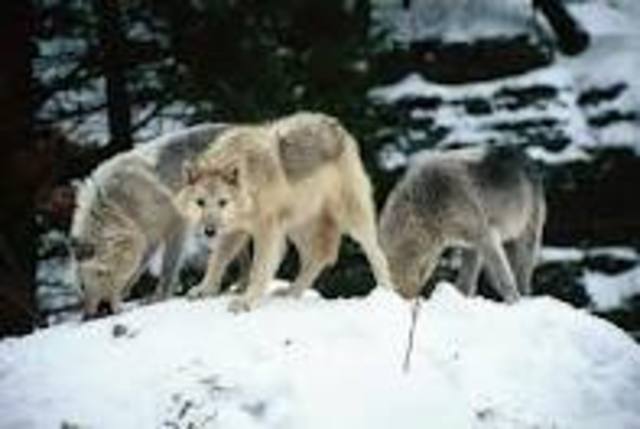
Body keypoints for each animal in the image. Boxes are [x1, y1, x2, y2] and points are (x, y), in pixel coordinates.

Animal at [70, 124, 229, 317]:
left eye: (103, 273)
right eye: (82, 286)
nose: (102, 310)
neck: (121, 208)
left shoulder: (176, 224)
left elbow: (168, 268)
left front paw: (160, 298)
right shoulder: (147, 237)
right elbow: (137, 270)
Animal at [179, 112, 393, 312]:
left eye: (223, 202)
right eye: (200, 202)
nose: (209, 231)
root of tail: (333, 123)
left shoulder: (267, 230)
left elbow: (258, 269)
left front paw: (246, 301)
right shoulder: (235, 230)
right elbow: (217, 260)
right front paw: (205, 289)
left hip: (350, 217)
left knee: (375, 252)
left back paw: (385, 291)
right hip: (297, 225)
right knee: (319, 256)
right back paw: (291, 292)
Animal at [379, 146, 546, 302]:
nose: (404, 300)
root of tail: (525, 156)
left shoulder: (486, 237)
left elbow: (502, 279)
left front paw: (514, 301)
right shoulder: (471, 244)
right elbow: (465, 283)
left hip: (526, 237)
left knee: (523, 273)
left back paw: (524, 297)